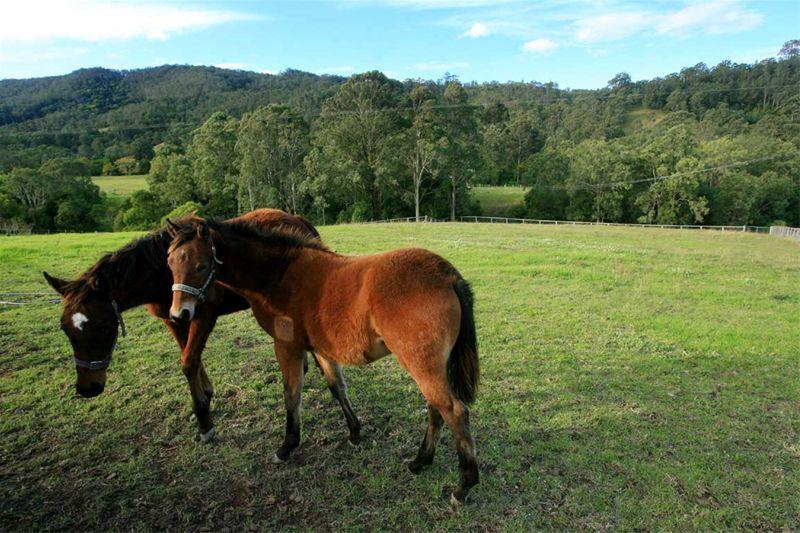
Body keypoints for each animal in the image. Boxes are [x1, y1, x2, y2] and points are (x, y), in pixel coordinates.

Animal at [43, 209, 361, 445]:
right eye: (65, 329)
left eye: (101, 325)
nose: (88, 388)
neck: (159, 273)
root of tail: (298, 220)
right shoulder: (173, 317)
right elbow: (188, 357)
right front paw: (205, 397)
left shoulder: (203, 314)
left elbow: (189, 360)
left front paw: (204, 420)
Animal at [166, 216, 480, 503]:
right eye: (170, 264)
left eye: (201, 266)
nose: (179, 314)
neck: (279, 274)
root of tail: (447, 275)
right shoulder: (319, 348)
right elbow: (336, 387)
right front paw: (354, 432)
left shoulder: (287, 347)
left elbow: (292, 395)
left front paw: (287, 446)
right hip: (429, 366)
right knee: (435, 409)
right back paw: (420, 462)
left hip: (420, 364)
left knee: (453, 411)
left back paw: (464, 486)